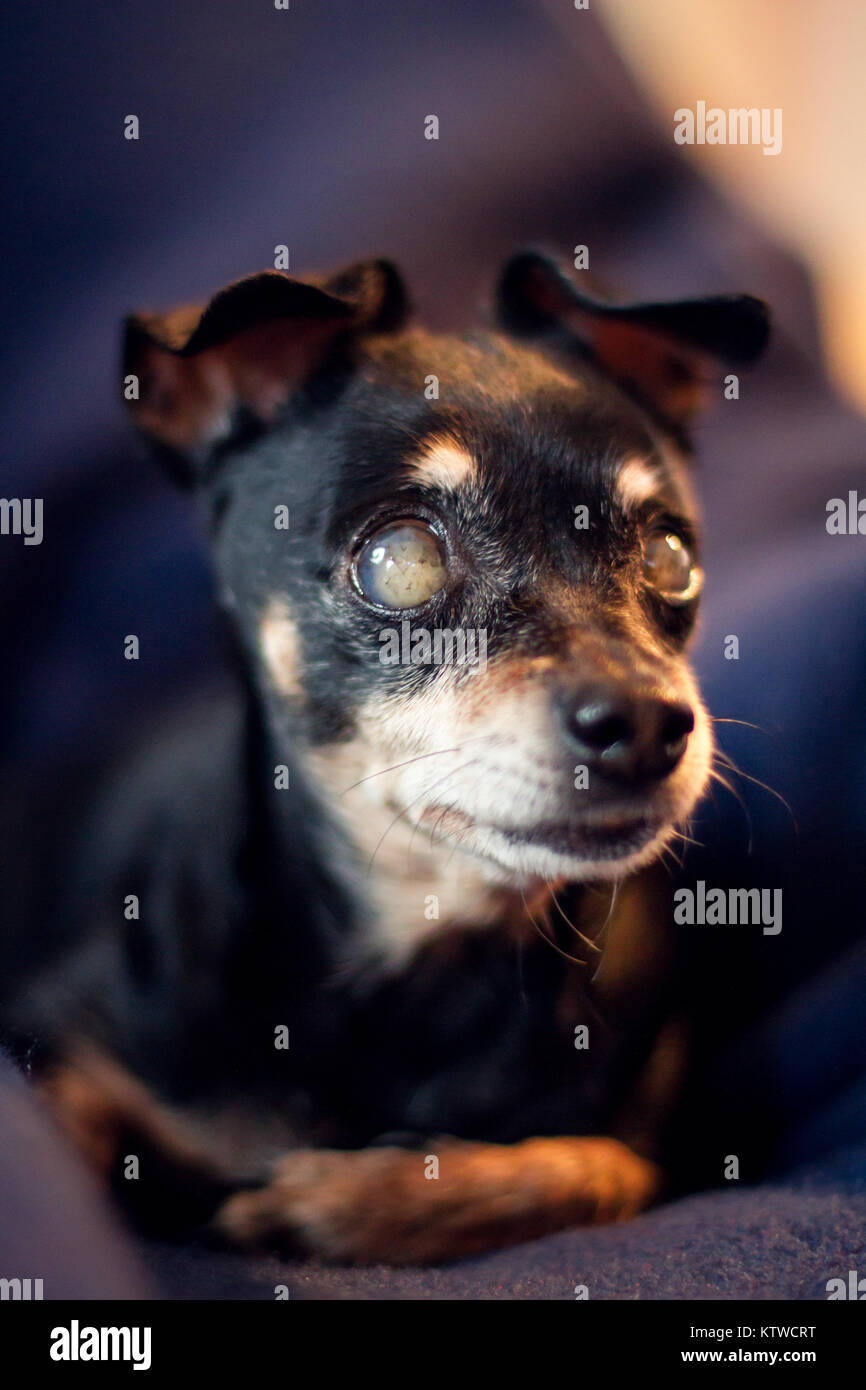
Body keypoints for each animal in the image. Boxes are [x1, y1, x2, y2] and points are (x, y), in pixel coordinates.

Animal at [3, 247, 767, 1262]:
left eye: (672, 560)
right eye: (400, 560)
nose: (647, 721)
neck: (416, 965)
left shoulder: (660, 1133)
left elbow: (597, 1166)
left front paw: (356, 1203)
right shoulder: (55, 1038)